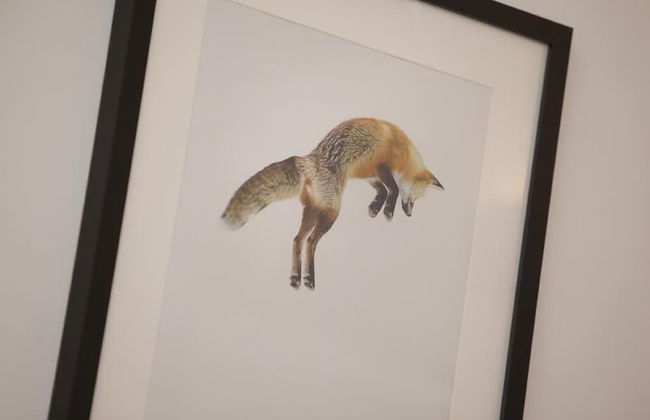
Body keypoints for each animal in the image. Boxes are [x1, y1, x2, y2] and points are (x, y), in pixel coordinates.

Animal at [222, 118, 444, 290]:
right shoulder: (381, 167)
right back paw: (309, 279)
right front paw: (388, 210)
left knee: (297, 240)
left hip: (312, 211)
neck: (403, 151)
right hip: (331, 213)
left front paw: (375, 207)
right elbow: (394, 189)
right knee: (311, 242)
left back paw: (295, 278)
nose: (409, 215)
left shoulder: (368, 172)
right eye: (414, 199)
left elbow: (381, 190)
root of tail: (310, 161)